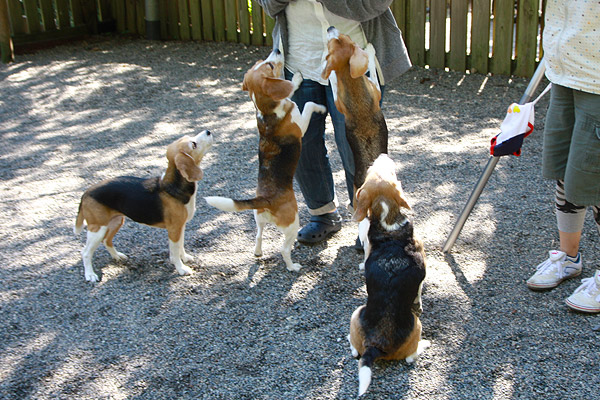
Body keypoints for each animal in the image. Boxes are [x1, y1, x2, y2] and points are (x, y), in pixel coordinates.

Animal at [74, 131, 213, 282]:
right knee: (85, 252)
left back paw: (117, 256)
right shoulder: (174, 229)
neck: (173, 186)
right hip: (97, 228)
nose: (208, 131)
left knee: (106, 241)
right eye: (193, 144)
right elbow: (174, 252)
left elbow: (180, 246)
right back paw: (90, 274)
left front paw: (185, 258)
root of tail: (86, 193)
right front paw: (181, 268)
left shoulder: (181, 227)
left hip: (116, 221)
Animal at [206, 48, 328, 270]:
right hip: (292, 223)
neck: (265, 110)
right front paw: (316, 102)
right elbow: (308, 103)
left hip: (258, 220)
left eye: (263, 62)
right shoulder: (300, 125)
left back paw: (258, 252)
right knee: (284, 249)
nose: (277, 49)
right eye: (269, 65)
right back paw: (292, 266)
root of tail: (265, 199)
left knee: (258, 236)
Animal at [350, 154, 428, 396]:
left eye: (388, 171)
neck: (388, 223)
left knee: (354, 350)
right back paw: (423, 345)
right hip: (416, 325)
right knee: (411, 357)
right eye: (374, 169)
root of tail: (375, 346)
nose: (382, 155)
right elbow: (420, 289)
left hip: (355, 315)